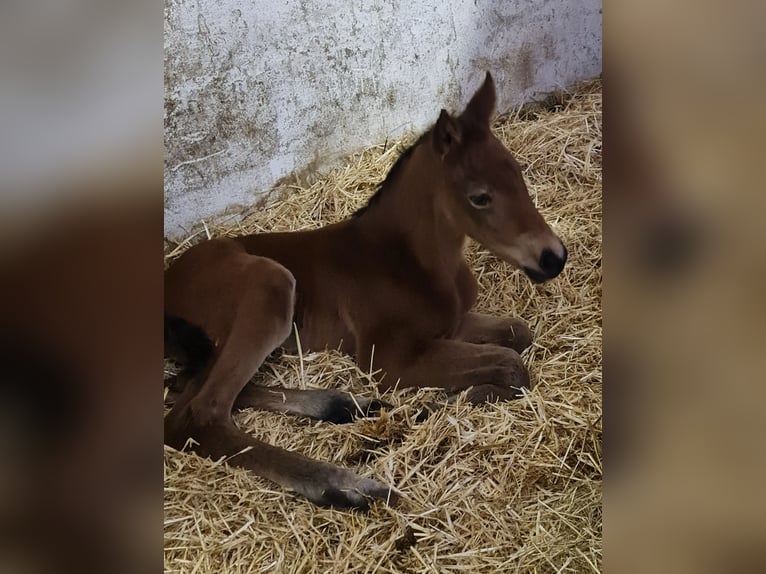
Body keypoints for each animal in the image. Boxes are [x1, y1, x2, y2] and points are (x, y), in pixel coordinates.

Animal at [165, 74, 568, 510]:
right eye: (480, 196)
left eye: (519, 174)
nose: (554, 258)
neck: (411, 261)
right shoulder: (388, 357)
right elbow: (511, 365)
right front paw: (437, 404)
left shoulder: (453, 323)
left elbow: (518, 334)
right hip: (269, 286)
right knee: (197, 414)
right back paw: (346, 485)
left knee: (185, 388)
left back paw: (347, 405)